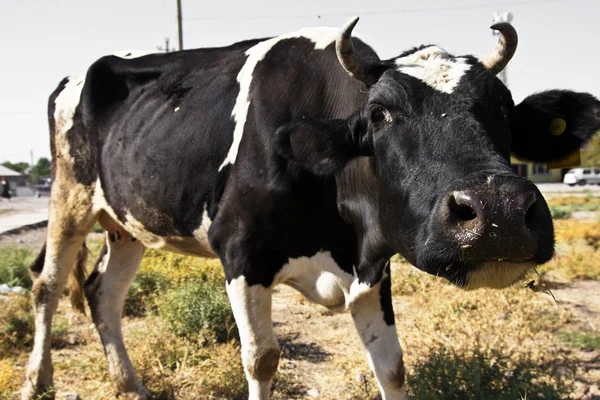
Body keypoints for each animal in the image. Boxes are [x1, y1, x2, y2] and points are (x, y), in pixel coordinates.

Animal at [22, 18, 600, 400]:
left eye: (504, 106)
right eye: (379, 113)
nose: (498, 211)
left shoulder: (372, 267)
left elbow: (392, 367)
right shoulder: (242, 254)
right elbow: (262, 359)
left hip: (128, 224)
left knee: (102, 292)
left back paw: (130, 386)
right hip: (68, 195)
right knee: (47, 285)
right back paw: (36, 380)